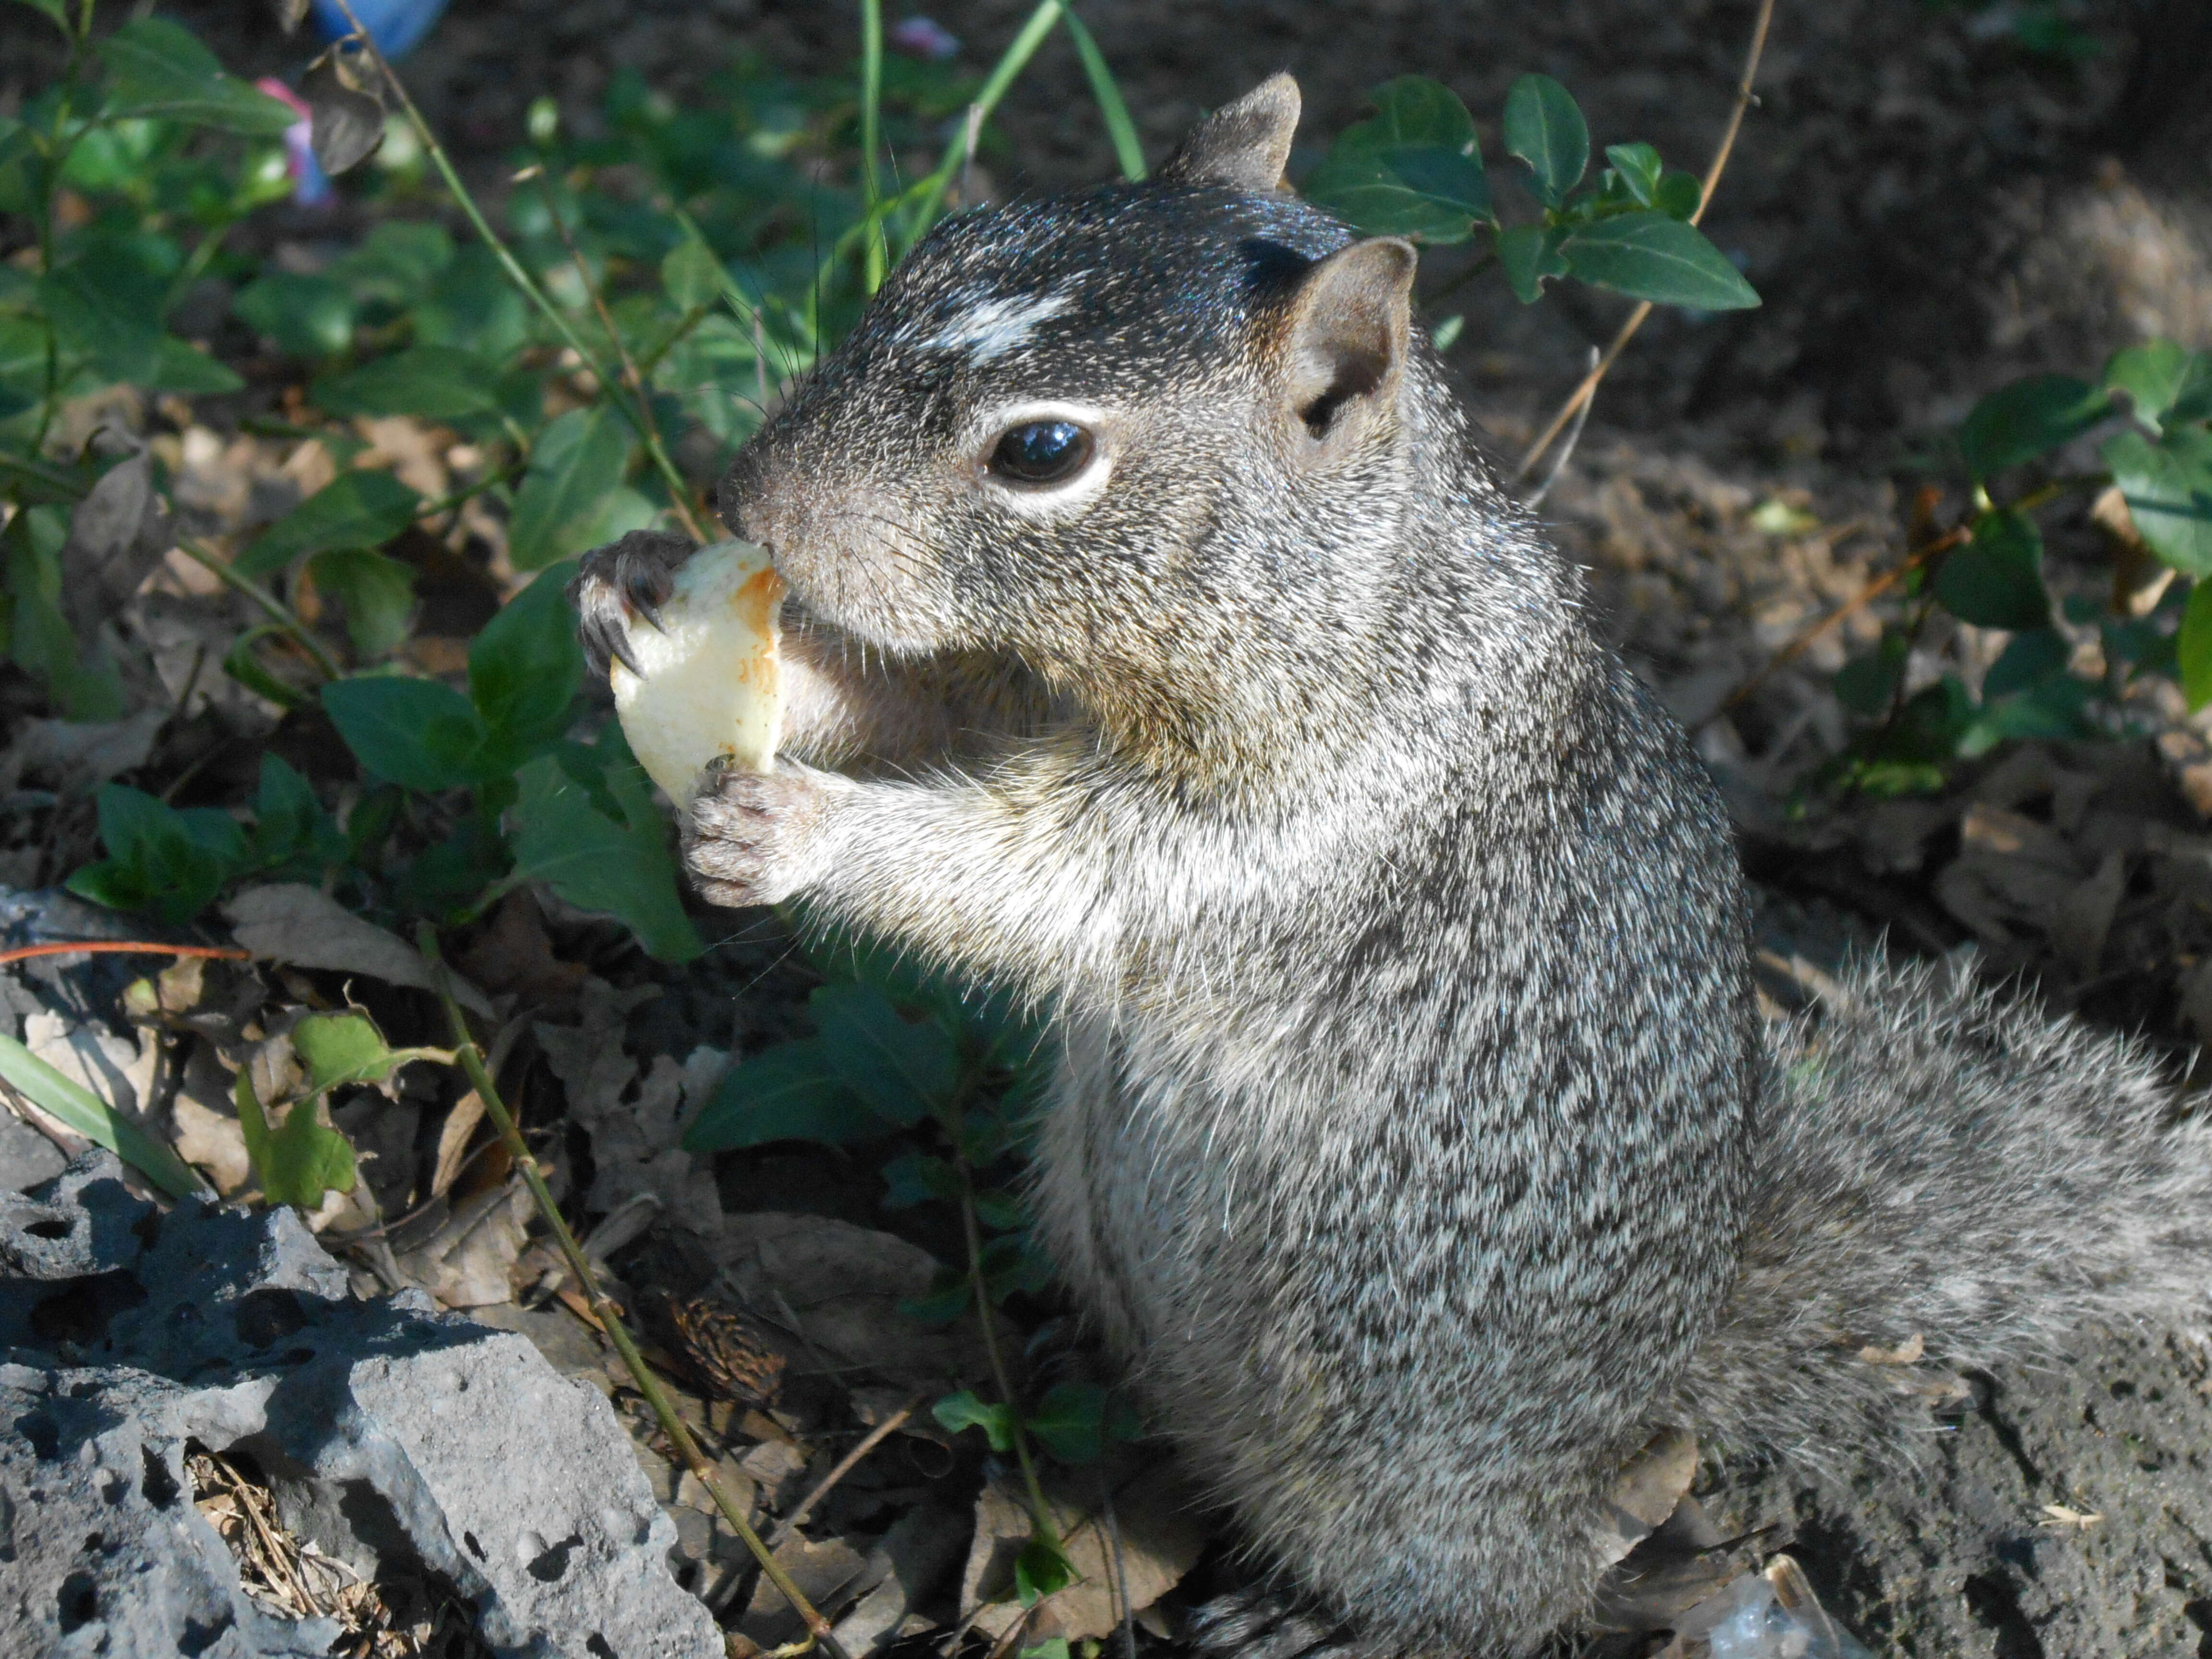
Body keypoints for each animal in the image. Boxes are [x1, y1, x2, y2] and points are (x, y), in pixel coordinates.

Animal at [570, 74, 2212, 1654]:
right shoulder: (1027, 691)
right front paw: (641, 598)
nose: (747, 500)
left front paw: (800, 827)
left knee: (1523, 1587)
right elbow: (927, 709)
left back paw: (1335, 1618)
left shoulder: (1307, 823)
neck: (1352, 596)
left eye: (1043, 450)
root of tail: (1646, 1391)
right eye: (933, 249)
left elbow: (1047, 875)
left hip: (1389, 1465)